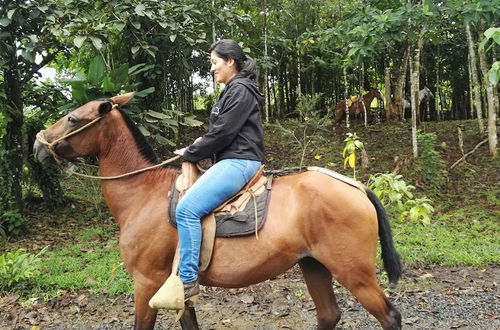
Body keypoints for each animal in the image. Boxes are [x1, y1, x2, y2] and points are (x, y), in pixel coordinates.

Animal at [34, 93, 402, 330]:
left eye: (72, 118)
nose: (37, 143)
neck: (143, 193)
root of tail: (357, 187)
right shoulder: (176, 287)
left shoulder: (147, 282)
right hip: (314, 264)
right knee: (328, 315)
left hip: (354, 272)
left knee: (389, 317)